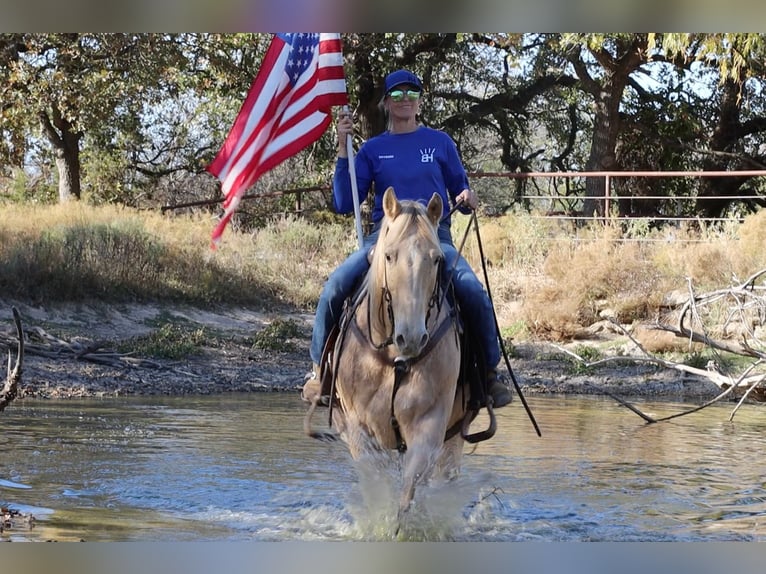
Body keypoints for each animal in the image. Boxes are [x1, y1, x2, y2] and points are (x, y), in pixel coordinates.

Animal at [304, 188, 486, 528]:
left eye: (437, 259)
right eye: (389, 256)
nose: (411, 337)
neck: (393, 359)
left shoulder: (429, 427)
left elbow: (408, 493)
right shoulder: (358, 429)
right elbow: (376, 482)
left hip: (455, 435)